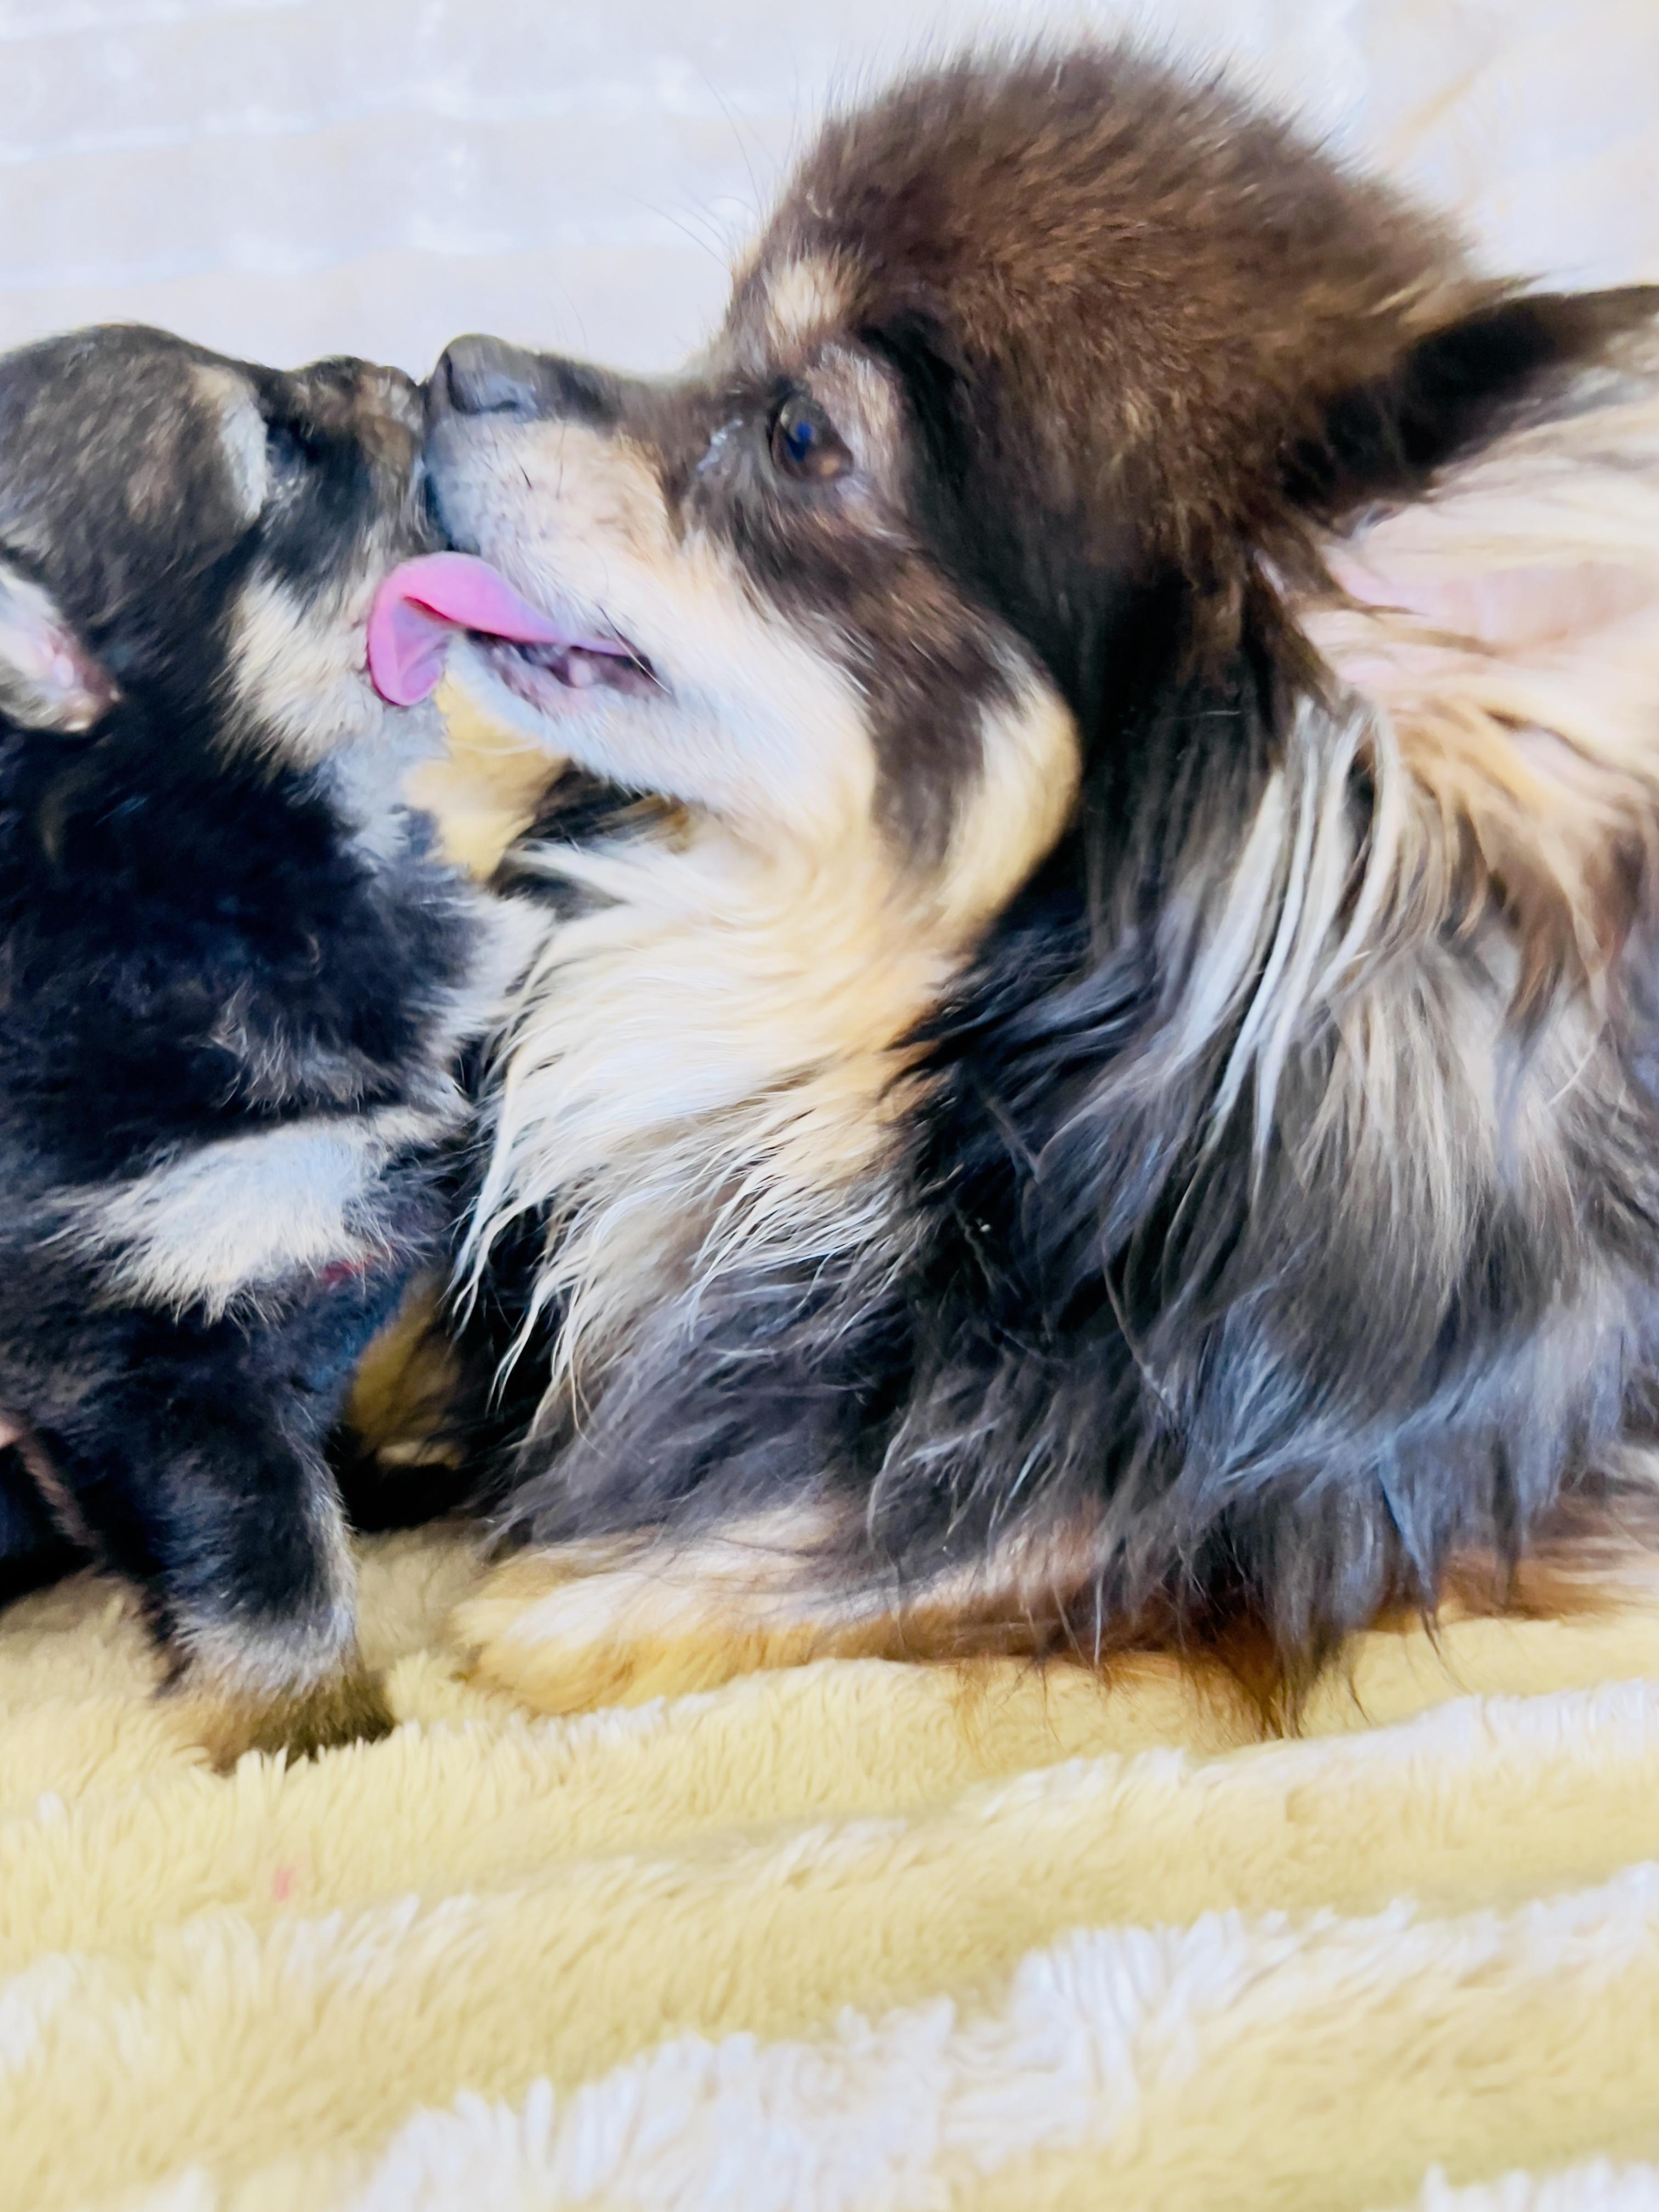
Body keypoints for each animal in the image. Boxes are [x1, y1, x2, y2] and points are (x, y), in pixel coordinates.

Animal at [379, 44, 1659, 1711]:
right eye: (715, 337)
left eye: (802, 437)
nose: (452, 360)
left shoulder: (1283, 1505)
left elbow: (939, 1542)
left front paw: (548, 1607)